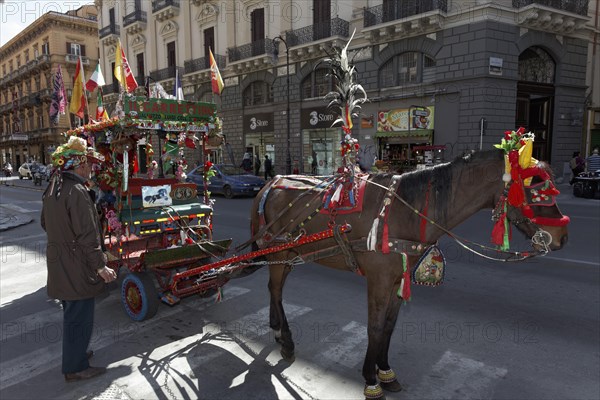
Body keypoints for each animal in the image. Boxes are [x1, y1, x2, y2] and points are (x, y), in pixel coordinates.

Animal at [247, 150, 568, 400]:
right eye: (537, 190)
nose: (562, 237)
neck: (407, 210)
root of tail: (271, 182)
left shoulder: (397, 279)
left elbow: (389, 327)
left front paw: (386, 371)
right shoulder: (378, 280)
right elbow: (375, 327)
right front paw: (371, 379)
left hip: (289, 253)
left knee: (275, 289)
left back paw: (278, 332)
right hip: (277, 254)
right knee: (276, 290)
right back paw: (285, 340)